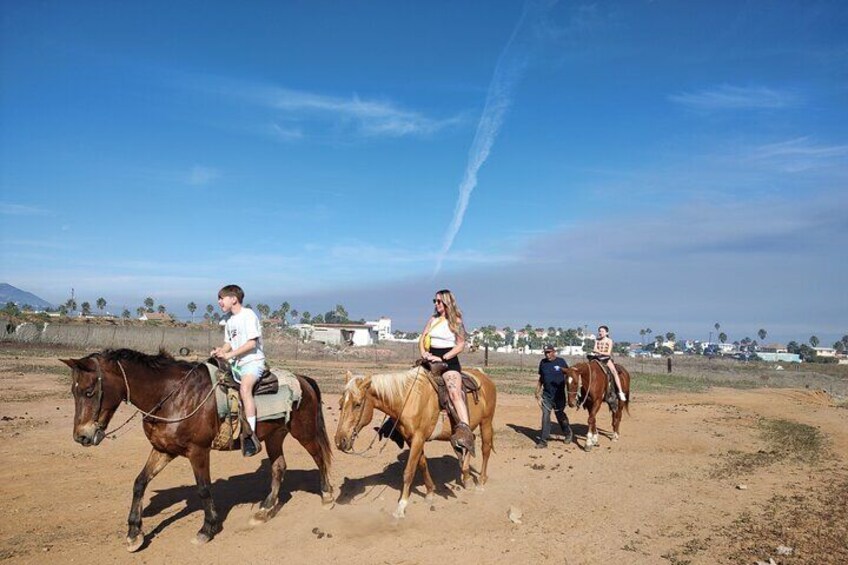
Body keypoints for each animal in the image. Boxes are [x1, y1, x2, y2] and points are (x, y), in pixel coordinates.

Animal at [61, 348, 332, 552]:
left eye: (89, 392)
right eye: (73, 391)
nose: (82, 436)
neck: (171, 396)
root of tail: (304, 380)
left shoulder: (198, 451)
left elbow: (203, 488)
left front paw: (207, 529)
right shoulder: (163, 449)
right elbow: (140, 483)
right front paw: (134, 533)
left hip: (304, 432)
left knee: (320, 458)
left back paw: (327, 496)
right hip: (274, 436)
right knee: (278, 467)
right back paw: (265, 510)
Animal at [332, 364, 494, 516]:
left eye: (357, 404)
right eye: (340, 404)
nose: (340, 441)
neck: (408, 399)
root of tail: (484, 376)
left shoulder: (418, 438)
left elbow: (409, 471)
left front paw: (401, 506)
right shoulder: (412, 440)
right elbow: (422, 464)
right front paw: (430, 493)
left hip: (486, 422)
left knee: (485, 449)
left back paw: (480, 482)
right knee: (468, 441)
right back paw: (466, 478)